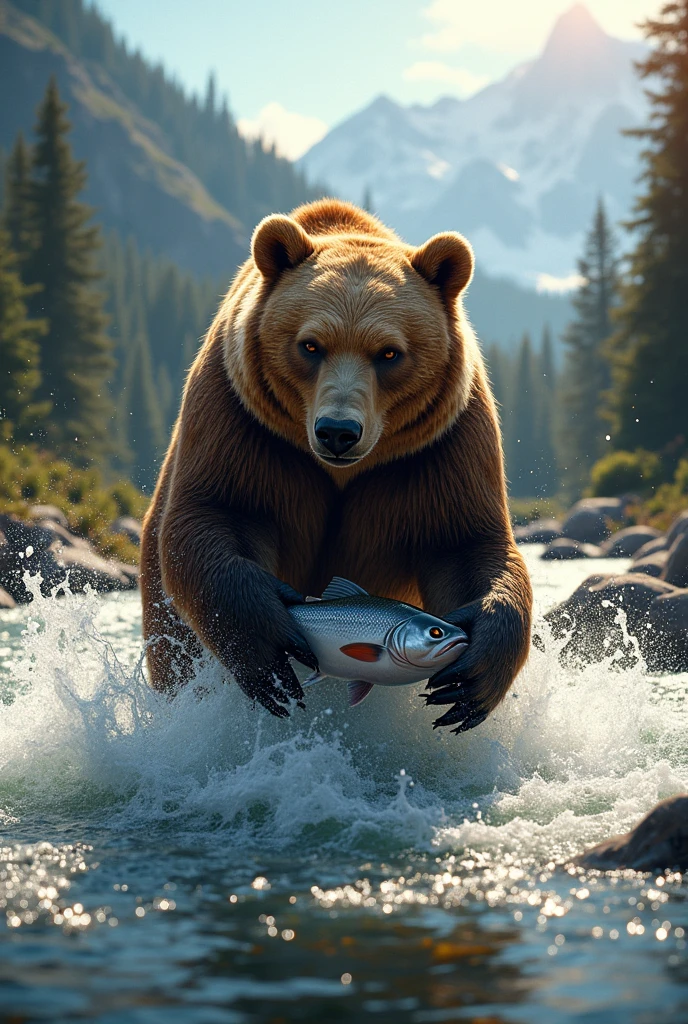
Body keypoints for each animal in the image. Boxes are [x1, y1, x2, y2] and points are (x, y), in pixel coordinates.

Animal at [141, 197, 532, 729]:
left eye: (389, 352)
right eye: (310, 344)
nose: (338, 432)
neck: (341, 472)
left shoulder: (440, 448)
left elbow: (462, 543)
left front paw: (472, 675)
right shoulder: (245, 425)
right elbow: (222, 513)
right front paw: (268, 640)